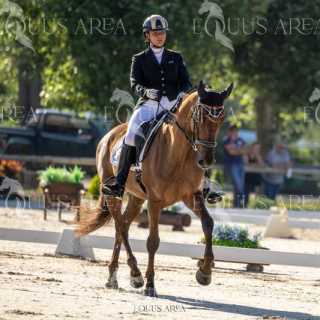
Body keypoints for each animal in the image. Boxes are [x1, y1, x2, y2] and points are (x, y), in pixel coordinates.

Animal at [76, 81, 234, 296]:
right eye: (199, 116)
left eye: (222, 118)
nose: (206, 161)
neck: (179, 152)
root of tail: (108, 135)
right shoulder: (155, 201)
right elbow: (153, 241)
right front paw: (150, 284)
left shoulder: (191, 196)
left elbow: (208, 224)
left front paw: (205, 272)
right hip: (114, 195)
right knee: (120, 226)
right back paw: (135, 275)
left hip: (136, 198)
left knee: (122, 226)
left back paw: (114, 277)